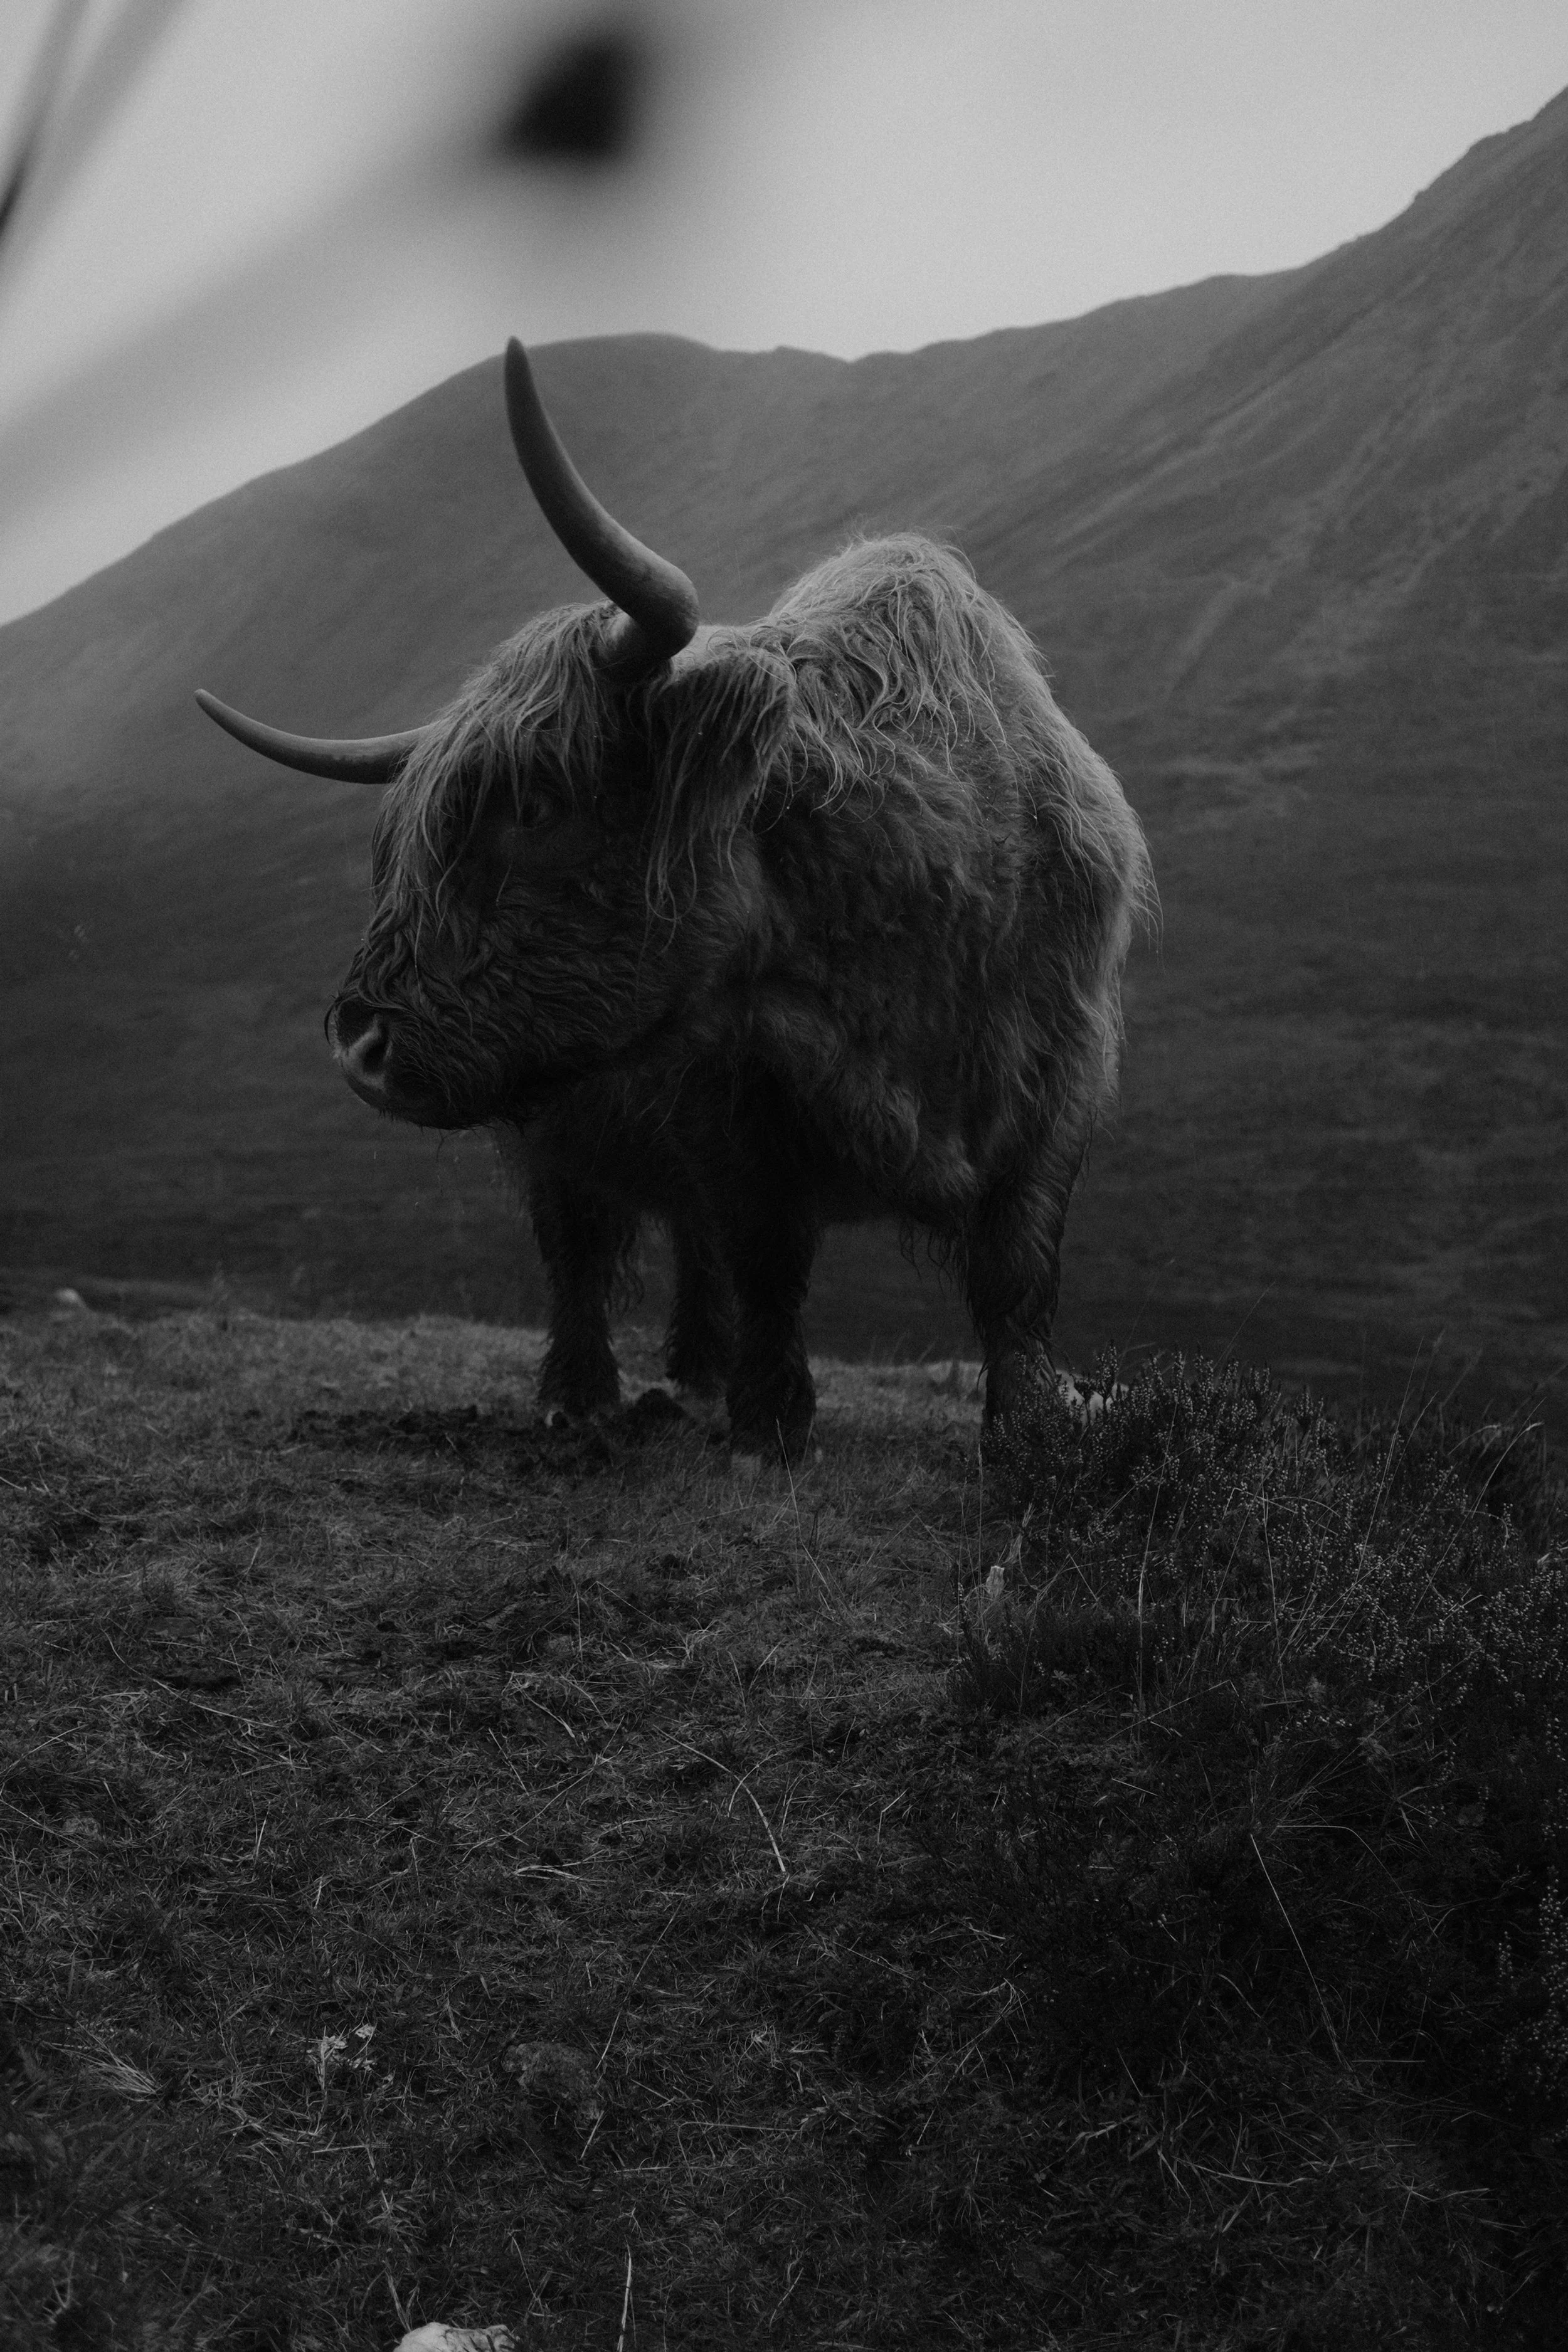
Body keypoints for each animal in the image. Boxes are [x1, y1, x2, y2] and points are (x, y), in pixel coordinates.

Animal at [198, 340, 1151, 1457]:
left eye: (535, 802)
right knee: (582, 1252)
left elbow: (1016, 1268)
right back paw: (585, 1394)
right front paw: (769, 1424)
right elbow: (766, 1257)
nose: (359, 1043)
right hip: (548, 1132)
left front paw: (1029, 1423)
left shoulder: (1060, 1079)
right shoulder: (739, 1105)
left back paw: (694, 1373)